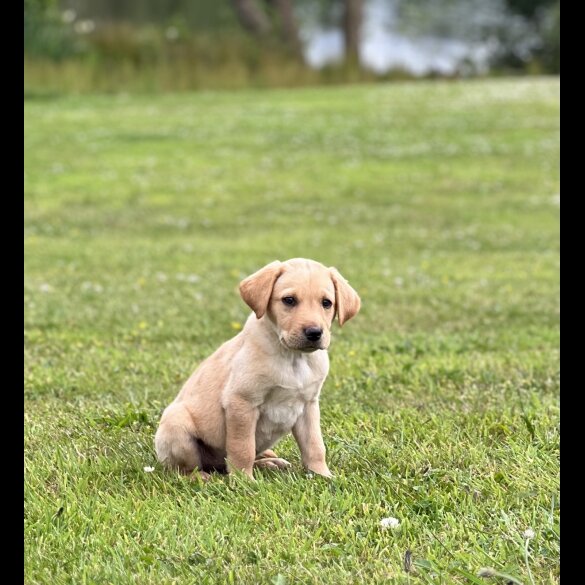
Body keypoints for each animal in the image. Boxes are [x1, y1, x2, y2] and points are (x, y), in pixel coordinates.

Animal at [153, 258, 358, 480]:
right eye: (289, 300)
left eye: (326, 303)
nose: (314, 333)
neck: (292, 357)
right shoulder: (242, 402)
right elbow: (243, 448)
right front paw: (244, 481)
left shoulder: (309, 406)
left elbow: (315, 446)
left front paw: (322, 475)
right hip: (176, 424)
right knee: (183, 469)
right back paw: (201, 477)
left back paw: (270, 462)